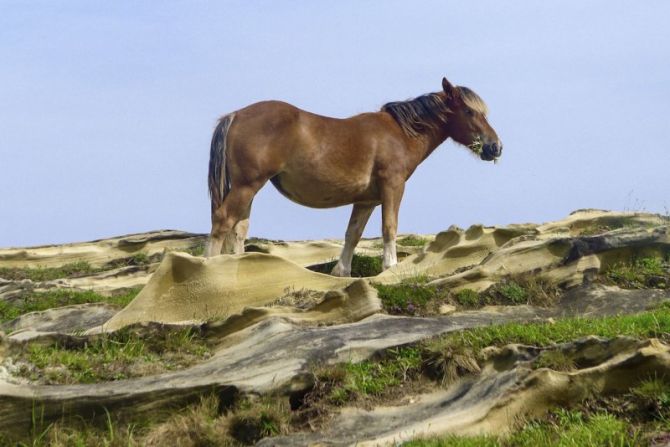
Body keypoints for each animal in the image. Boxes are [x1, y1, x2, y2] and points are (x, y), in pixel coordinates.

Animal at [206, 77, 504, 276]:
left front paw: (342, 272)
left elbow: (353, 234)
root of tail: (235, 115)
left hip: (249, 189)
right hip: (247, 185)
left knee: (239, 230)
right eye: (469, 111)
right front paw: (390, 267)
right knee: (222, 221)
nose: (495, 147)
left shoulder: (366, 201)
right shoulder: (392, 187)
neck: (400, 134)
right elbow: (389, 227)